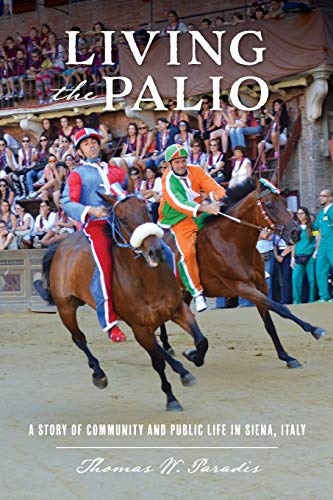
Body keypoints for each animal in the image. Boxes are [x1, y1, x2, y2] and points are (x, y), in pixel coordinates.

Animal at [38, 193, 208, 412]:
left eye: (146, 210)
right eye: (122, 219)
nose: (156, 251)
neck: (147, 282)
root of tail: (61, 246)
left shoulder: (177, 309)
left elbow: (201, 341)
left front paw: (193, 357)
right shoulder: (139, 327)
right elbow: (157, 363)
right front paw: (171, 399)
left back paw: (182, 371)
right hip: (66, 307)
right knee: (79, 339)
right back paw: (99, 374)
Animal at [163, 178, 324, 370]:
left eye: (285, 203)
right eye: (269, 205)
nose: (296, 232)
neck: (231, 241)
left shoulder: (260, 285)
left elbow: (269, 323)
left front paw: (286, 356)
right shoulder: (242, 287)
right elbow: (281, 308)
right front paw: (314, 329)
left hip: (184, 292)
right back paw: (169, 347)